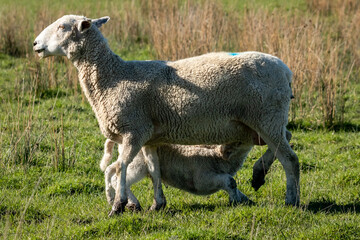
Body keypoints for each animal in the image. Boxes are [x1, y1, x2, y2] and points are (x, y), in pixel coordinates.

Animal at [33, 14, 300, 216]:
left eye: (62, 27)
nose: (35, 44)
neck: (113, 77)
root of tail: (285, 69)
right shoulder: (150, 138)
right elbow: (153, 170)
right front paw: (156, 204)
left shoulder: (134, 130)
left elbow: (121, 168)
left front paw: (118, 205)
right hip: (261, 123)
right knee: (284, 140)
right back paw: (259, 174)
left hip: (266, 117)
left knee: (290, 159)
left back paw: (292, 200)